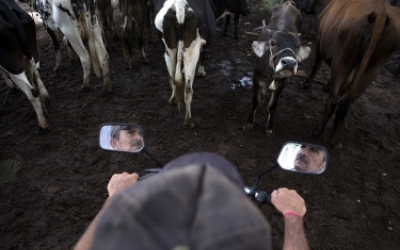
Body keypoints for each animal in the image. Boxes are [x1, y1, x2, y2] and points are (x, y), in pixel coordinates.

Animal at [155, 0, 248, 128]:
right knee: (188, 89)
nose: (248, 10)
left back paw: (172, 100)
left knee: (172, 77)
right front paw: (201, 72)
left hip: (168, 49)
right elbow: (204, 54)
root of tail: (179, 5)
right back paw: (188, 120)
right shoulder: (205, 42)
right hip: (191, 50)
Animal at [244, 0, 312, 136]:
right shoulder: (256, 77)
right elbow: (256, 100)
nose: (289, 63)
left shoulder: (281, 83)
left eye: (298, 45)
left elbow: (272, 105)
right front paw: (249, 122)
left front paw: (269, 128)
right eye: (273, 43)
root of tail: (288, 3)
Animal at [302, 0, 400, 147]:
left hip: (343, 58)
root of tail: (381, 11)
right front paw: (328, 86)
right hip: (373, 67)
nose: (304, 9)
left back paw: (317, 131)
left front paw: (307, 83)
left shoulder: (320, 37)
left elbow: (316, 64)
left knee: (334, 101)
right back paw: (334, 138)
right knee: (346, 103)